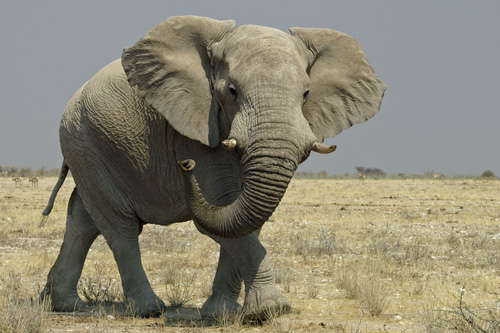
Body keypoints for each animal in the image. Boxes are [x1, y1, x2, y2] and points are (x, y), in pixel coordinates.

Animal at [40, 16, 386, 320]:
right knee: (119, 225)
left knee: (84, 219)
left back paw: (63, 305)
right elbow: (219, 210)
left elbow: (241, 220)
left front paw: (224, 313)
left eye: (306, 94)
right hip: (84, 141)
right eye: (231, 91)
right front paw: (272, 310)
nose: (185, 165)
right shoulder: (194, 125)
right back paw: (149, 309)